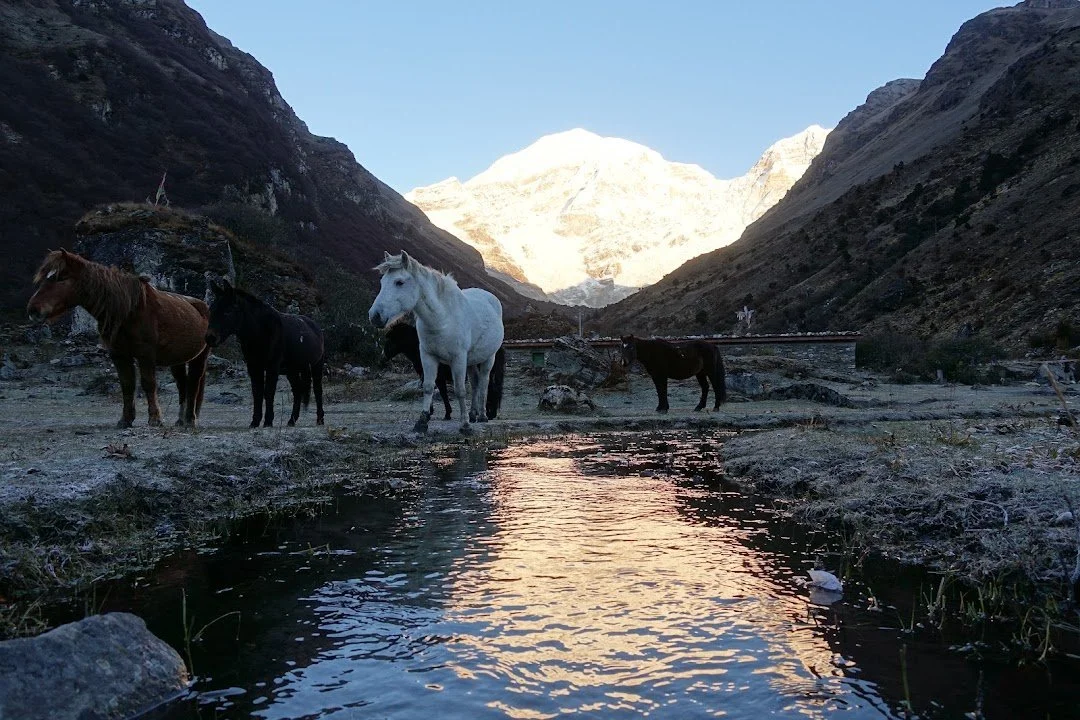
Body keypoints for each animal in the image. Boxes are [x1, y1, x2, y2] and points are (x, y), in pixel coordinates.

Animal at [26, 249, 210, 427]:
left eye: (61, 278)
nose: (33, 310)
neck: (129, 311)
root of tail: (201, 305)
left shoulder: (146, 355)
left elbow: (149, 384)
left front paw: (155, 419)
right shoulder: (119, 355)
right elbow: (127, 385)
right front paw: (126, 420)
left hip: (199, 357)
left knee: (194, 382)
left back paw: (190, 420)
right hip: (177, 360)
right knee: (182, 384)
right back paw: (180, 420)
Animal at [205, 280, 325, 428]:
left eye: (228, 311)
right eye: (211, 310)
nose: (210, 338)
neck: (261, 331)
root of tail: (315, 327)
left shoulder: (272, 367)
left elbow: (268, 392)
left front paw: (268, 421)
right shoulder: (253, 367)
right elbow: (257, 393)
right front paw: (255, 422)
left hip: (316, 366)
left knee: (318, 391)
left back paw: (320, 419)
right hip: (293, 371)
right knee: (297, 391)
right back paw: (291, 420)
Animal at [368, 250, 504, 434]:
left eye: (399, 282)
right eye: (382, 282)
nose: (375, 316)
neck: (442, 319)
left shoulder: (458, 359)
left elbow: (460, 390)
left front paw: (465, 425)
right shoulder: (428, 357)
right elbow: (428, 387)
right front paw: (422, 422)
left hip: (489, 358)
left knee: (484, 383)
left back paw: (482, 415)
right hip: (471, 361)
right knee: (475, 383)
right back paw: (473, 414)